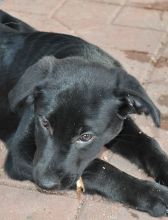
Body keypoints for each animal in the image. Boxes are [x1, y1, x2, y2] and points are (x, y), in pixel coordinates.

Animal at [0, 10, 168, 217]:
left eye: (86, 136)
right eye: (45, 123)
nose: (45, 183)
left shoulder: (119, 122)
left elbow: (147, 142)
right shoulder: (20, 154)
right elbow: (97, 168)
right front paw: (151, 193)